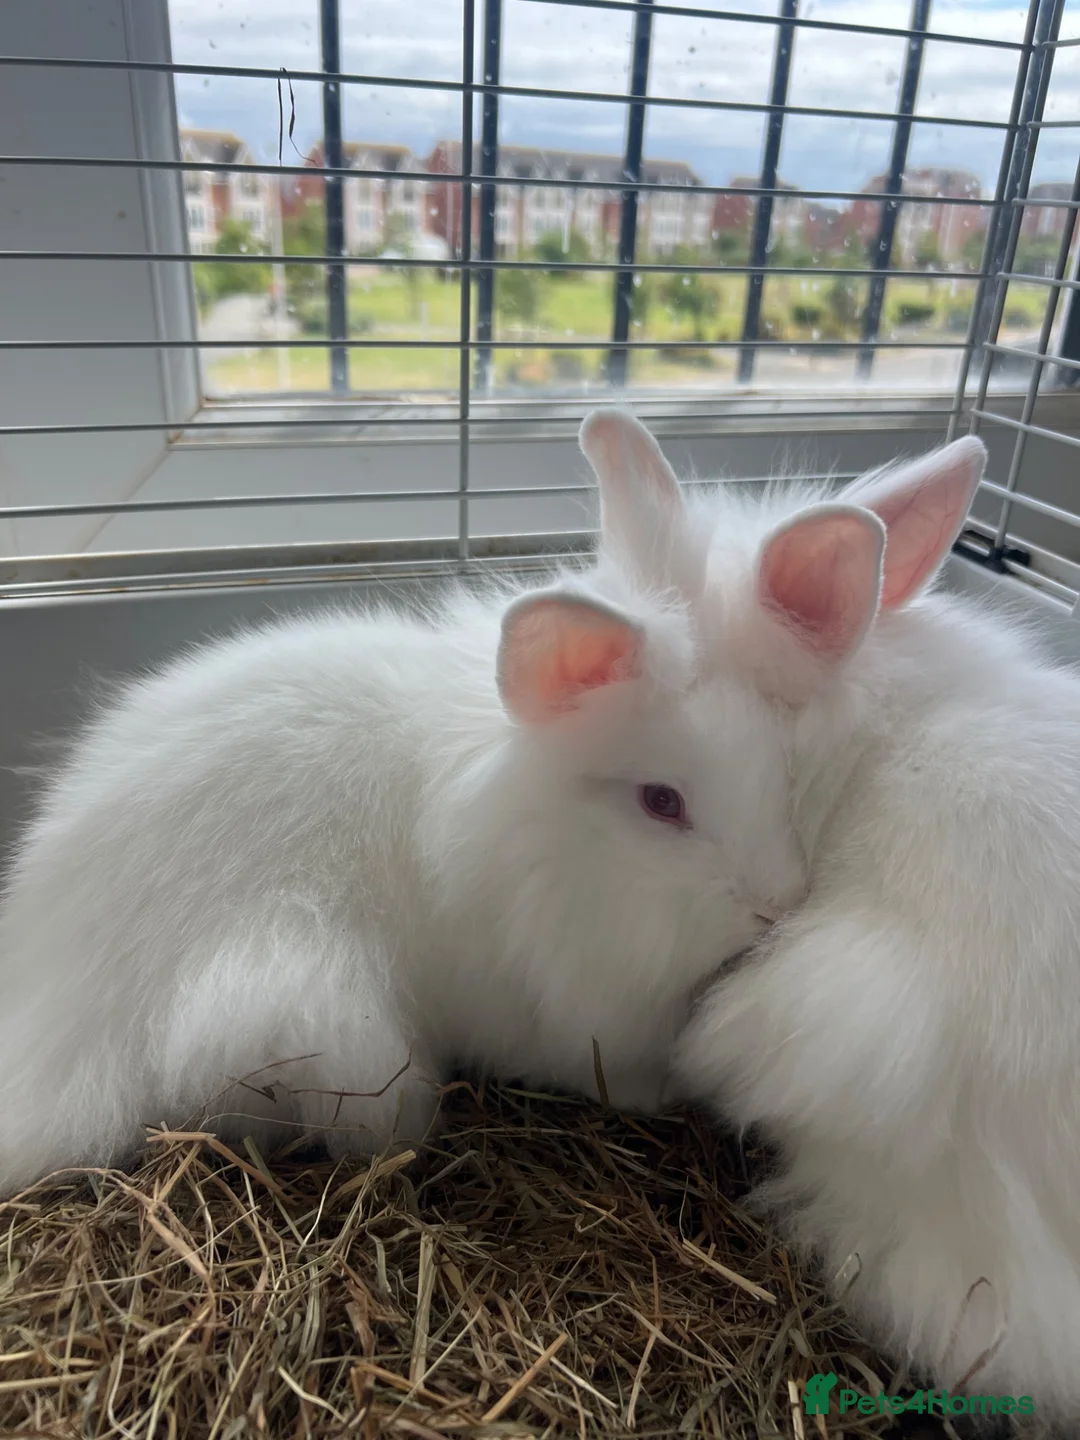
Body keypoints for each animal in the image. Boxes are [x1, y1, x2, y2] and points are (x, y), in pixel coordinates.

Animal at [0, 410, 808, 1198]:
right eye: (661, 802)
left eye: (774, 757)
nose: (776, 908)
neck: (543, 842)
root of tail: (53, 1031)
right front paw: (663, 1094)